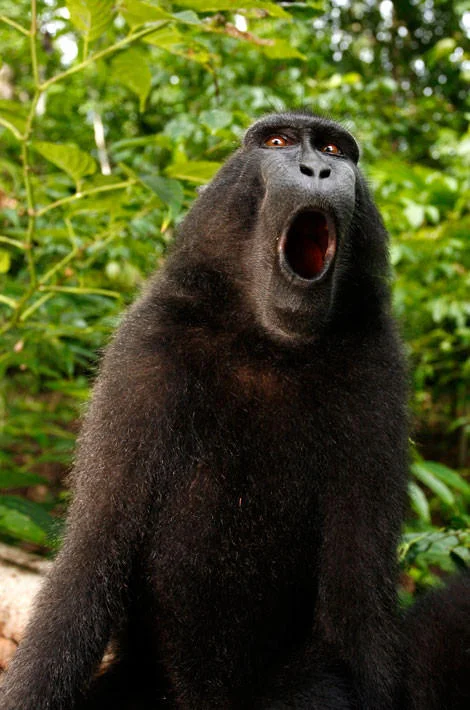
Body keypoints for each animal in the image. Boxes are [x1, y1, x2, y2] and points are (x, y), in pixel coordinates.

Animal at [0, 111, 409, 709]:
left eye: (334, 149)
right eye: (279, 142)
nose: (318, 169)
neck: (266, 347)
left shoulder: (377, 373)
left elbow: (359, 611)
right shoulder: (143, 352)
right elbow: (88, 565)